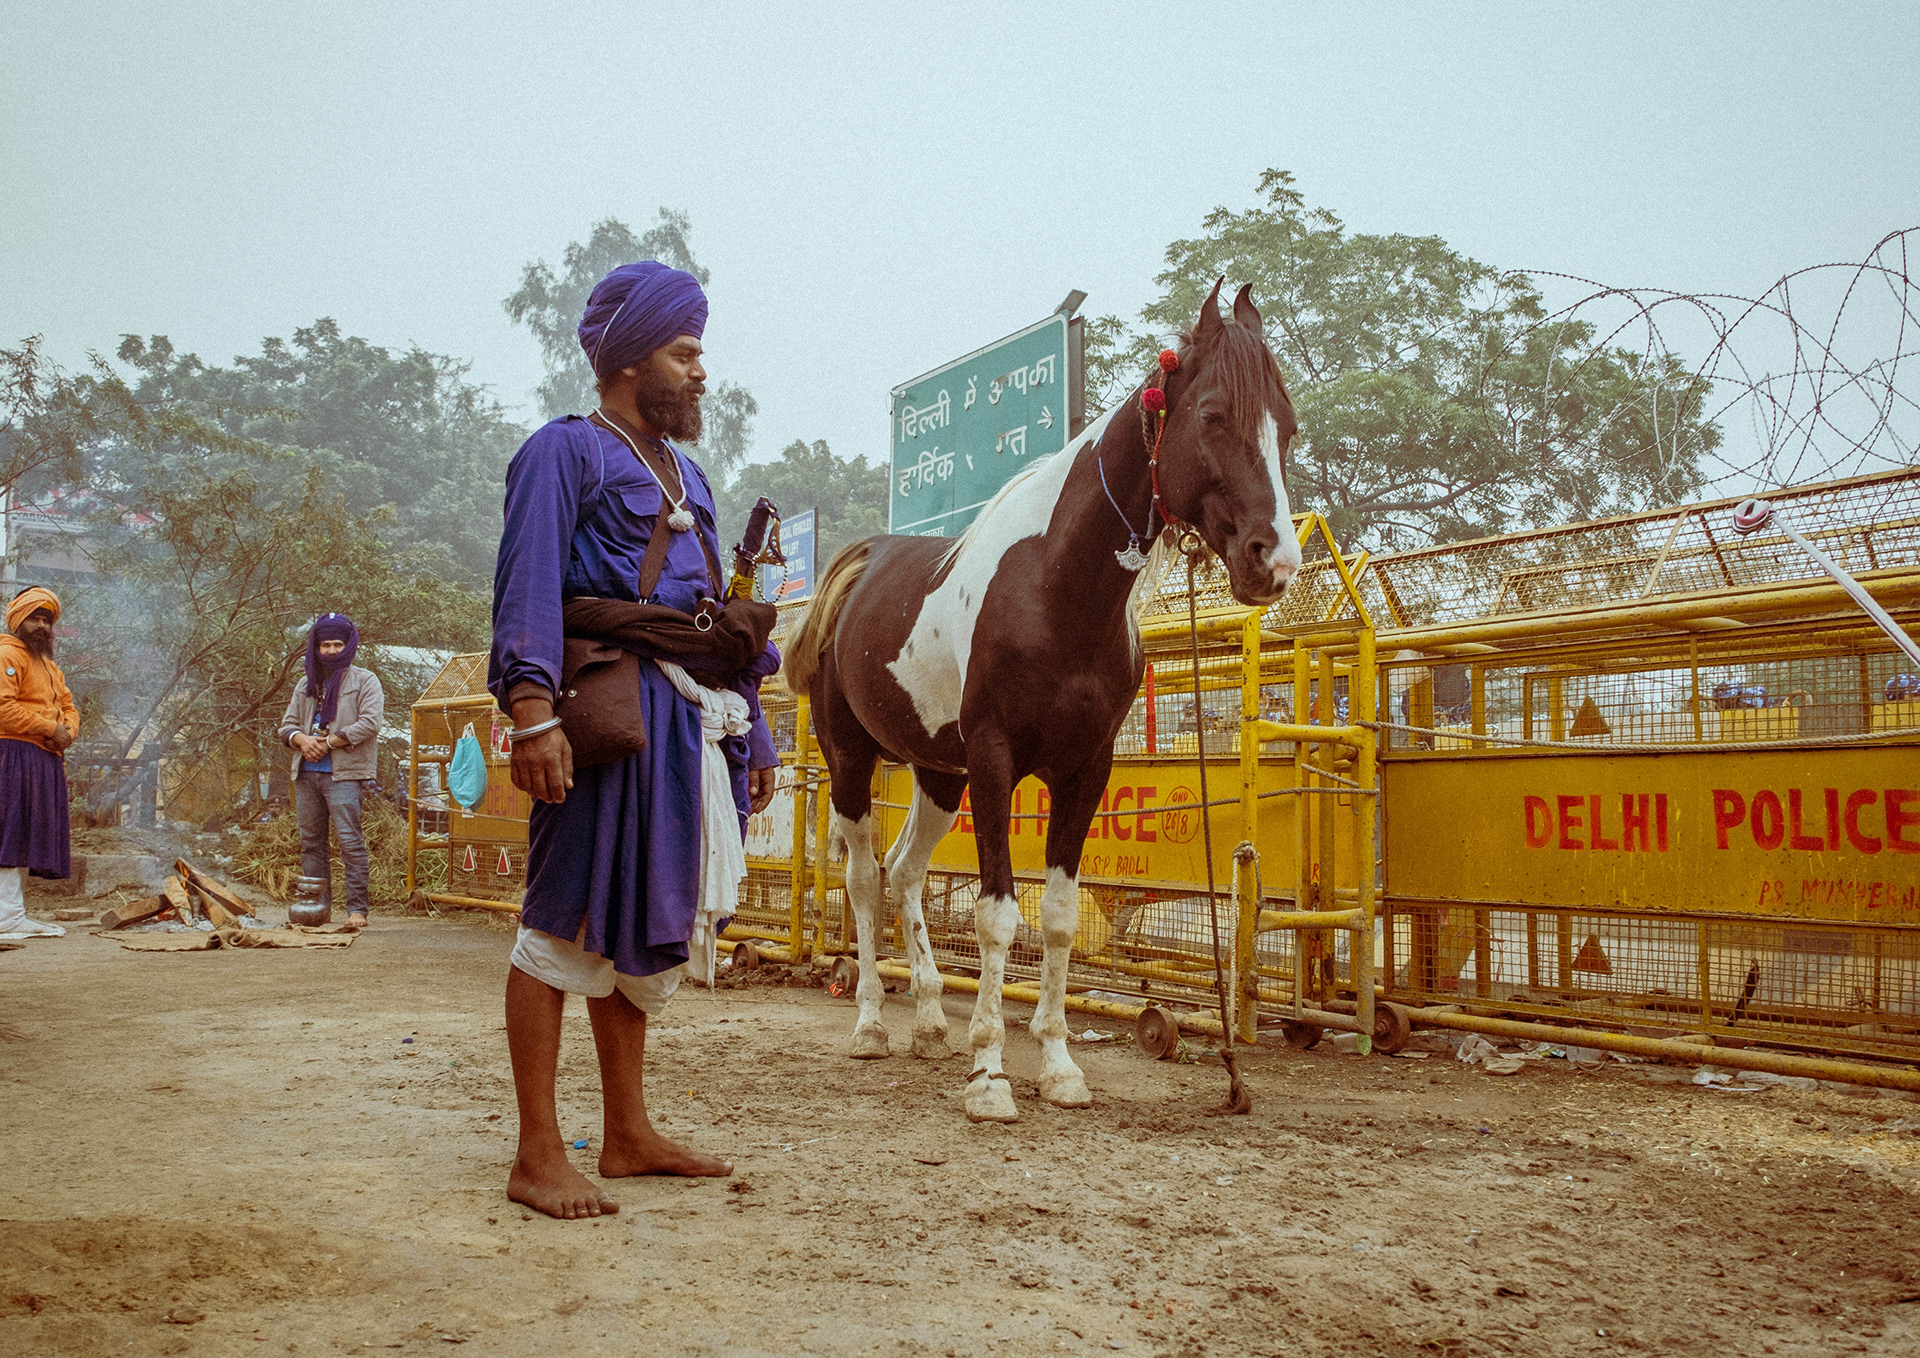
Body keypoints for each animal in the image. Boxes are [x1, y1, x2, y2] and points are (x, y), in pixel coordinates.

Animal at [783, 280, 1301, 1122]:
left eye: (1285, 426)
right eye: (1213, 415)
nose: (1275, 560)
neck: (1055, 590)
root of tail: (860, 564)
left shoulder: (1083, 769)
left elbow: (1056, 919)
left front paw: (1057, 1066)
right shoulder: (996, 761)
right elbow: (998, 917)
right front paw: (990, 1075)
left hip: (938, 774)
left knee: (904, 872)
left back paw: (931, 1020)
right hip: (853, 761)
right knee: (863, 881)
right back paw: (871, 1025)